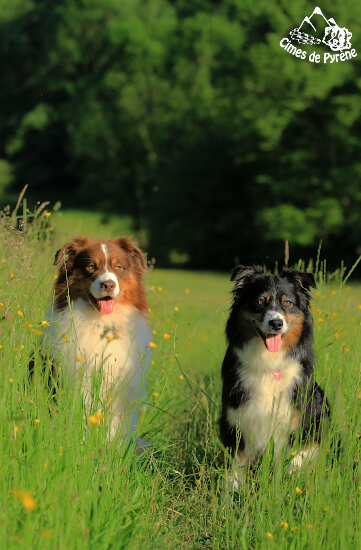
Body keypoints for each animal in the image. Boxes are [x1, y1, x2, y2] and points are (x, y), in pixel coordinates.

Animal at [43, 237, 150, 448]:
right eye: (91, 266)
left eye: (118, 267)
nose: (108, 285)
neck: (103, 324)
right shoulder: (80, 384)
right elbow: (84, 419)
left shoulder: (122, 390)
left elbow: (117, 431)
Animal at [219, 268, 330, 492]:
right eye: (260, 301)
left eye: (288, 303)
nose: (276, 323)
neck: (268, 364)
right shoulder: (235, 424)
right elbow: (233, 475)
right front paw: (231, 498)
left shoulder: (300, 427)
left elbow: (292, 466)